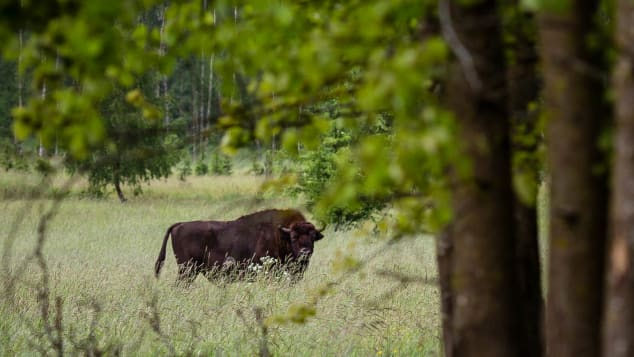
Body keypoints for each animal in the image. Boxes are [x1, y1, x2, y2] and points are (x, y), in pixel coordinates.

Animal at [152, 209, 320, 280]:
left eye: (313, 237)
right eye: (294, 237)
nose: (306, 252)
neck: (280, 234)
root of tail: (179, 225)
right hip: (187, 270)